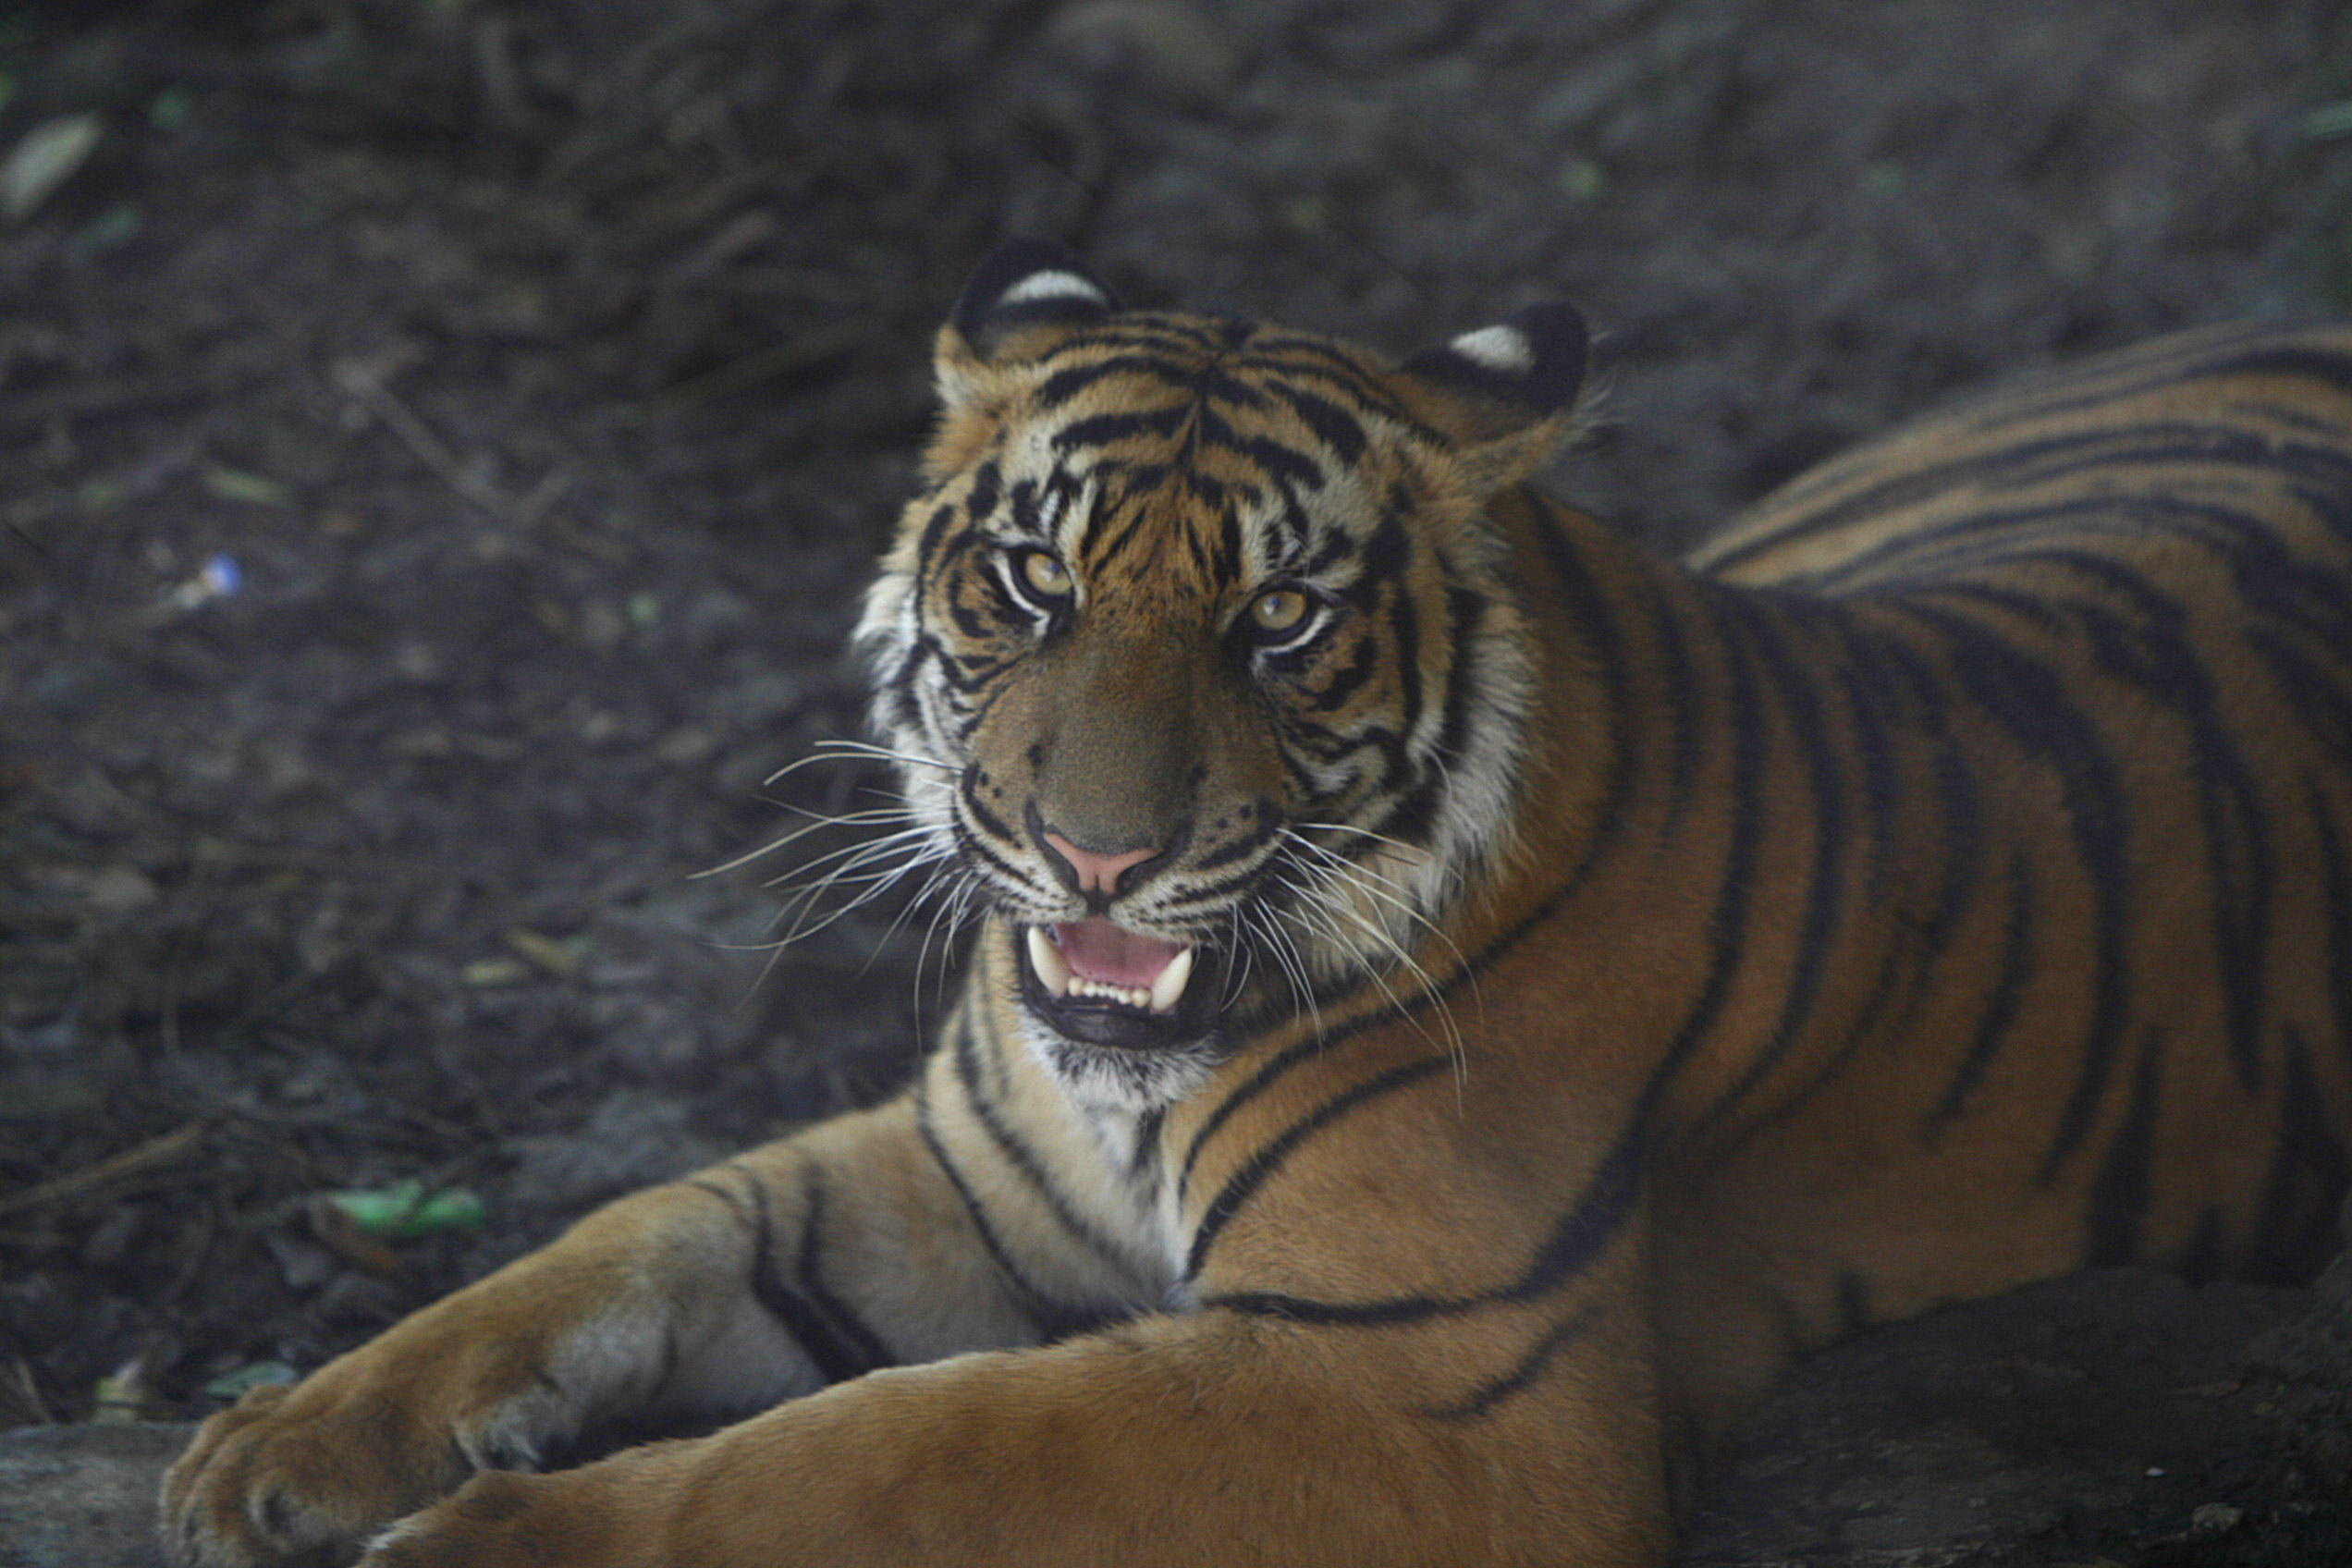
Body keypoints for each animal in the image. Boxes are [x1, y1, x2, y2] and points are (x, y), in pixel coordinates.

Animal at [161, 236, 2352, 1568]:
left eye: (1280, 619)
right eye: (1031, 583)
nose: (1097, 856)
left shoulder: (1422, 1381)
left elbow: (893, 1447)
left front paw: (495, 1541)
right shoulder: (953, 1180)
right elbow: (622, 1238)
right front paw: (278, 1445)